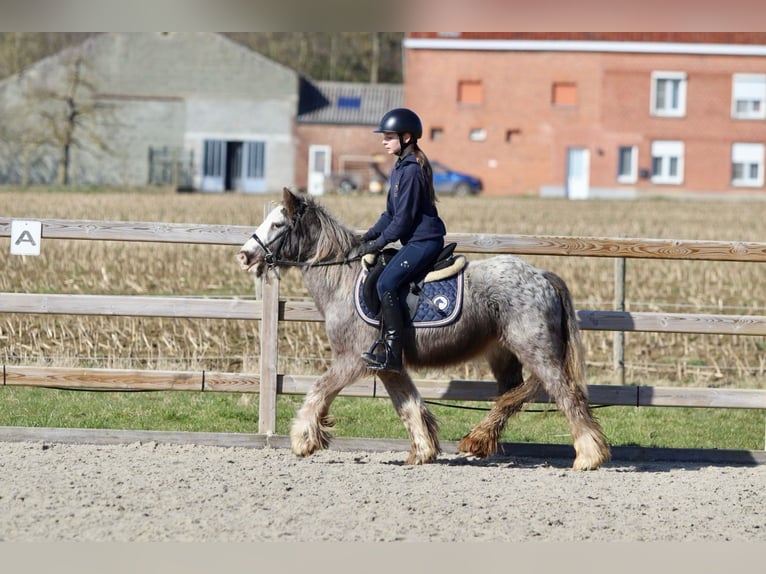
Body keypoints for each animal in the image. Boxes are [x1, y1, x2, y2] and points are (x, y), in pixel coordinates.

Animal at [236, 189, 612, 472]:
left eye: (278, 223)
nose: (244, 255)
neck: (342, 279)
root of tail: (542, 275)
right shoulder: (388, 365)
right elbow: (408, 404)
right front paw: (422, 451)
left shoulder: (351, 360)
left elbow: (318, 391)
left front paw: (302, 439)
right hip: (504, 353)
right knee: (511, 396)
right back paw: (478, 439)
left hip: (537, 351)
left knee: (566, 396)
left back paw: (588, 457)